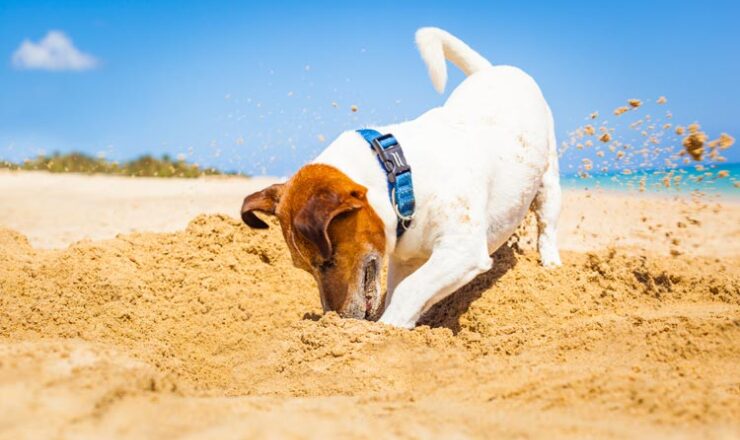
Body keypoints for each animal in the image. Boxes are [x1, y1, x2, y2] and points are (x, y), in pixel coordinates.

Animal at [243, 27, 560, 328]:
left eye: (328, 262)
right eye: (305, 268)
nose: (336, 318)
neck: (400, 179)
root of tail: (492, 70)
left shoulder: (462, 249)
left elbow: (410, 291)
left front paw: (387, 328)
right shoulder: (404, 259)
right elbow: (402, 292)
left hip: (549, 179)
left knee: (547, 224)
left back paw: (551, 265)